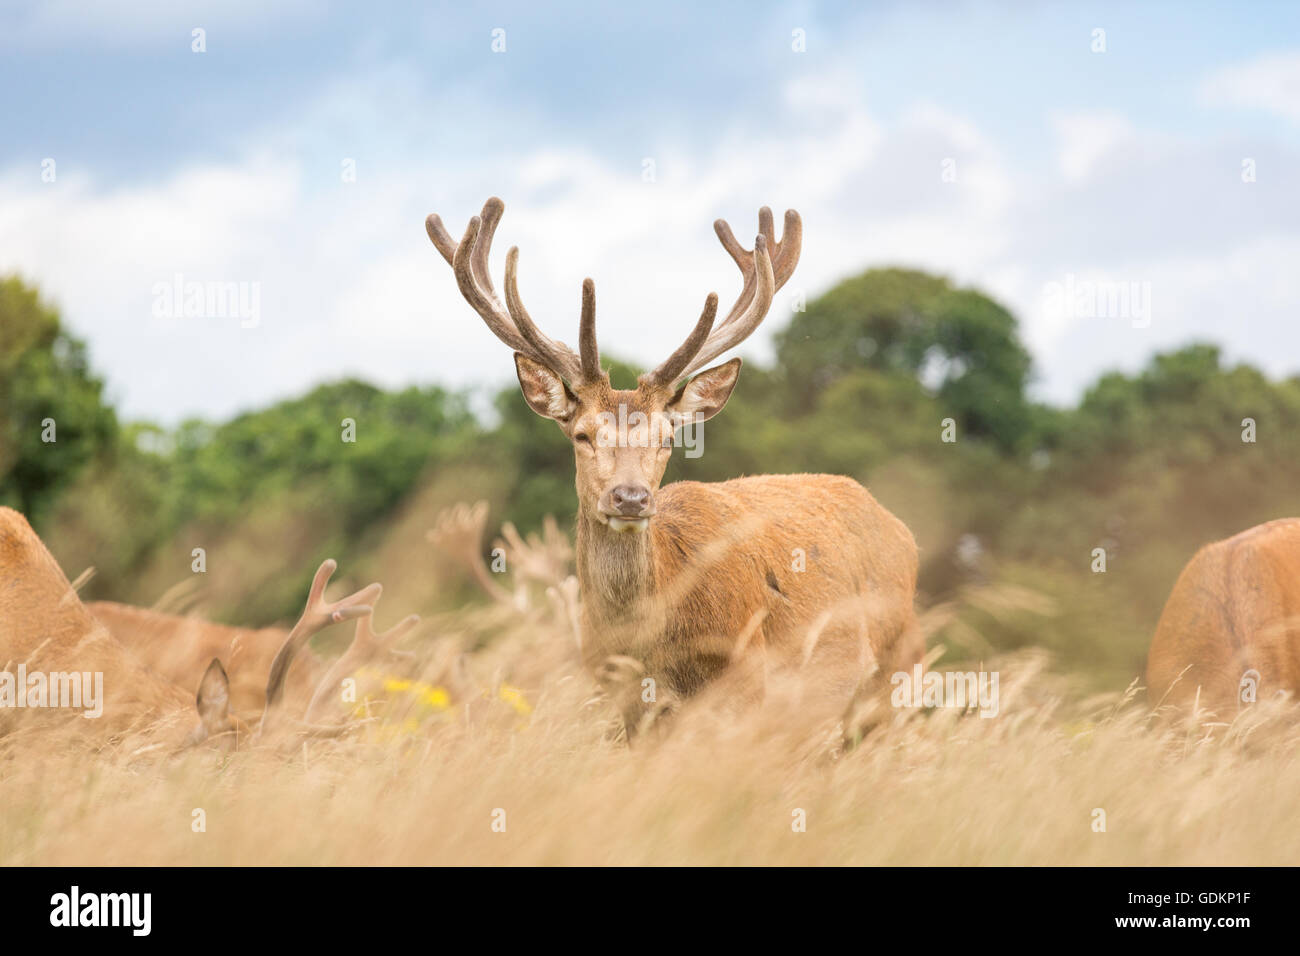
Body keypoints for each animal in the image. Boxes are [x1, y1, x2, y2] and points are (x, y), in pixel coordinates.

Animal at [424, 197, 921, 735]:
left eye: (667, 438)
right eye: (582, 435)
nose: (631, 497)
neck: (653, 647)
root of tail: (900, 529)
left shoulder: (748, 678)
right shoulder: (624, 706)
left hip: (896, 676)